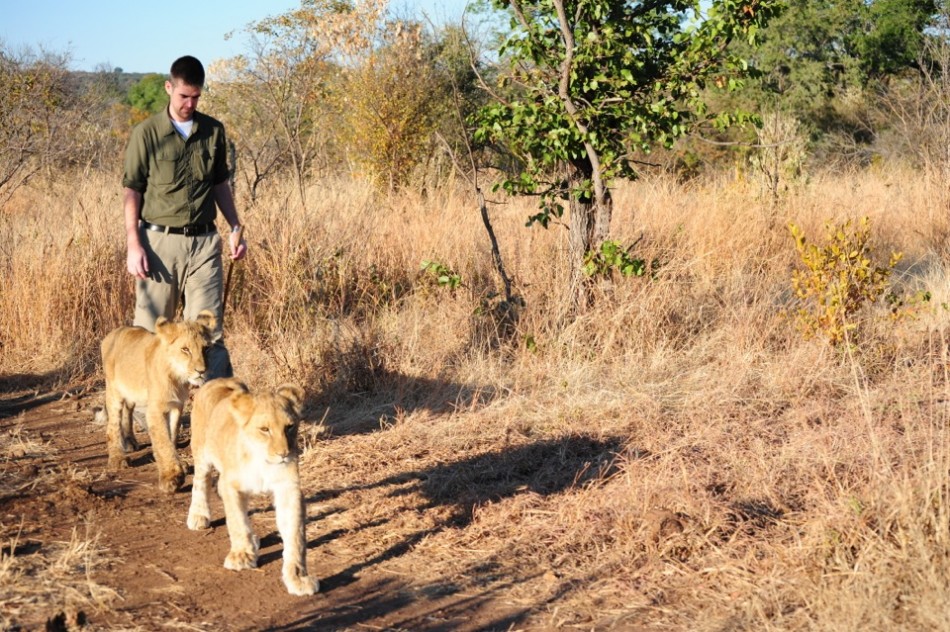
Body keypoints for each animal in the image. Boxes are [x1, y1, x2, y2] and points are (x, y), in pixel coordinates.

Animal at [100, 311, 216, 494]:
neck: (177, 377)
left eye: (206, 349)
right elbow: (163, 441)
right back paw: (117, 459)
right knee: (113, 424)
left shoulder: (176, 405)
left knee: (128, 410)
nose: (201, 371)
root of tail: (112, 333)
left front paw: (181, 464)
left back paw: (130, 441)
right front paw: (172, 477)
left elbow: (172, 435)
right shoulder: (155, 409)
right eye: (185, 349)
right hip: (113, 390)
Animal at [186, 378, 319, 597]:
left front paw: (299, 578)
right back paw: (198, 516)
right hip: (201, 453)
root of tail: (218, 380)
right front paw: (241, 555)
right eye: (264, 429)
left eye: (289, 427)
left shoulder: (288, 488)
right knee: (200, 482)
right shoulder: (231, 485)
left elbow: (295, 535)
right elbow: (237, 521)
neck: (262, 460)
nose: (284, 454)